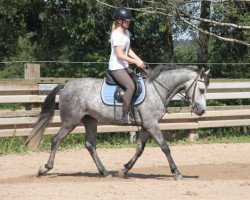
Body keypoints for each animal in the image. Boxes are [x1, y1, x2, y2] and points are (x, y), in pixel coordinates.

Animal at [24, 65, 209, 180]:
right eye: (201, 90)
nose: (201, 111)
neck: (157, 90)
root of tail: (66, 85)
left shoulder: (146, 126)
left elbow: (140, 150)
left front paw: (124, 170)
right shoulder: (152, 124)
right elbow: (165, 148)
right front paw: (176, 172)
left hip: (90, 121)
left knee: (90, 145)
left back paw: (105, 172)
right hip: (71, 121)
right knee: (56, 140)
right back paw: (44, 168)